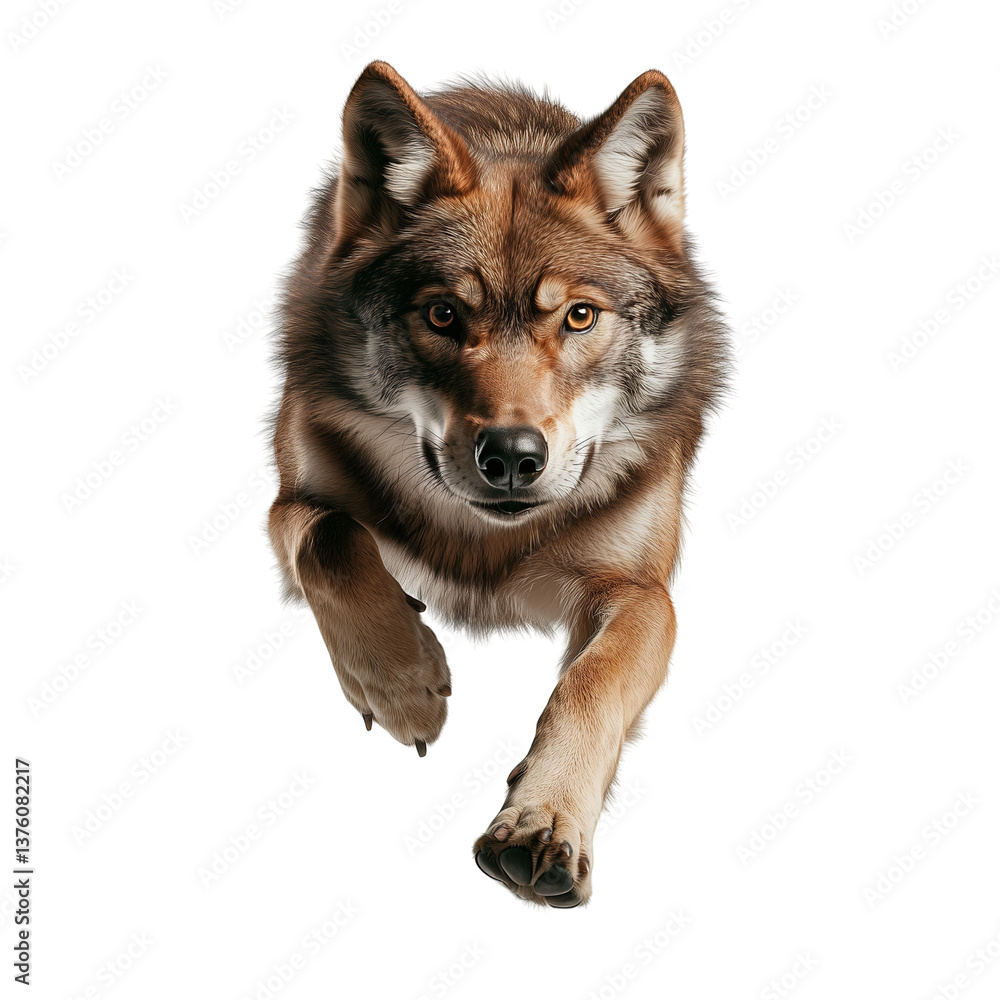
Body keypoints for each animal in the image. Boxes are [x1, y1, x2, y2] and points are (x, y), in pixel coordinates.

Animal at [267, 61, 728, 907]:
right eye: (443, 315)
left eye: (578, 317)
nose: (511, 456)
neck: (485, 540)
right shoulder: (289, 501)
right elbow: (333, 539)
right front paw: (403, 683)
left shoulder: (640, 592)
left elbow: (590, 685)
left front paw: (542, 822)